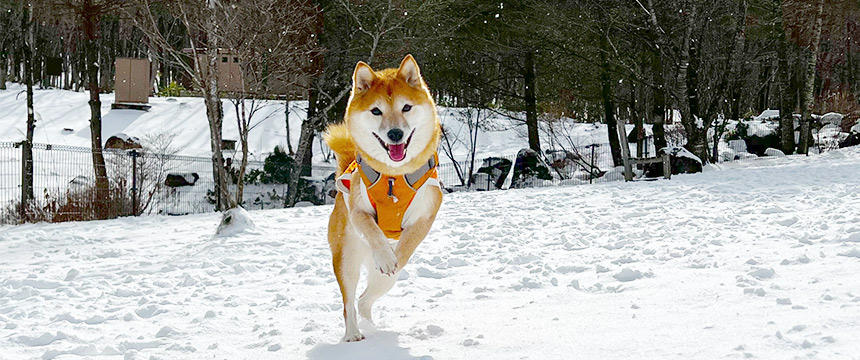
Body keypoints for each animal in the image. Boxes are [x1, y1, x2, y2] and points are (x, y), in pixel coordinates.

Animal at [324, 54, 444, 342]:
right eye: (376, 111)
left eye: (406, 107)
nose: (395, 134)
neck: (394, 175)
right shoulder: (357, 208)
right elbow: (371, 228)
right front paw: (386, 255)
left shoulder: (428, 212)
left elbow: (409, 241)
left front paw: (395, 256)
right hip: (347, 257)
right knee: (350, 302)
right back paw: (354, 334)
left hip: (380, 279)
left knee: (366, 298)